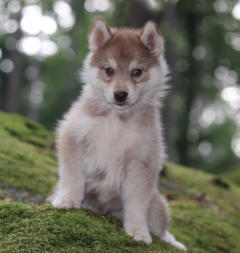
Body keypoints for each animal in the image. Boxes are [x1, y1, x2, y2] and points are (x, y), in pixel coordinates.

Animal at [49, 18, 187, 251]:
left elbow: (137, 204)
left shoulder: (143, 160)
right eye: (109, 70)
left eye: (137, 71)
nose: (120, 94)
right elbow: (72, 177)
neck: (117, 118)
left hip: (157, 205)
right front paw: (68, 200)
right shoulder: (73, 136)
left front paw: (138, 231)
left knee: (162, 229)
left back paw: (172, 241)